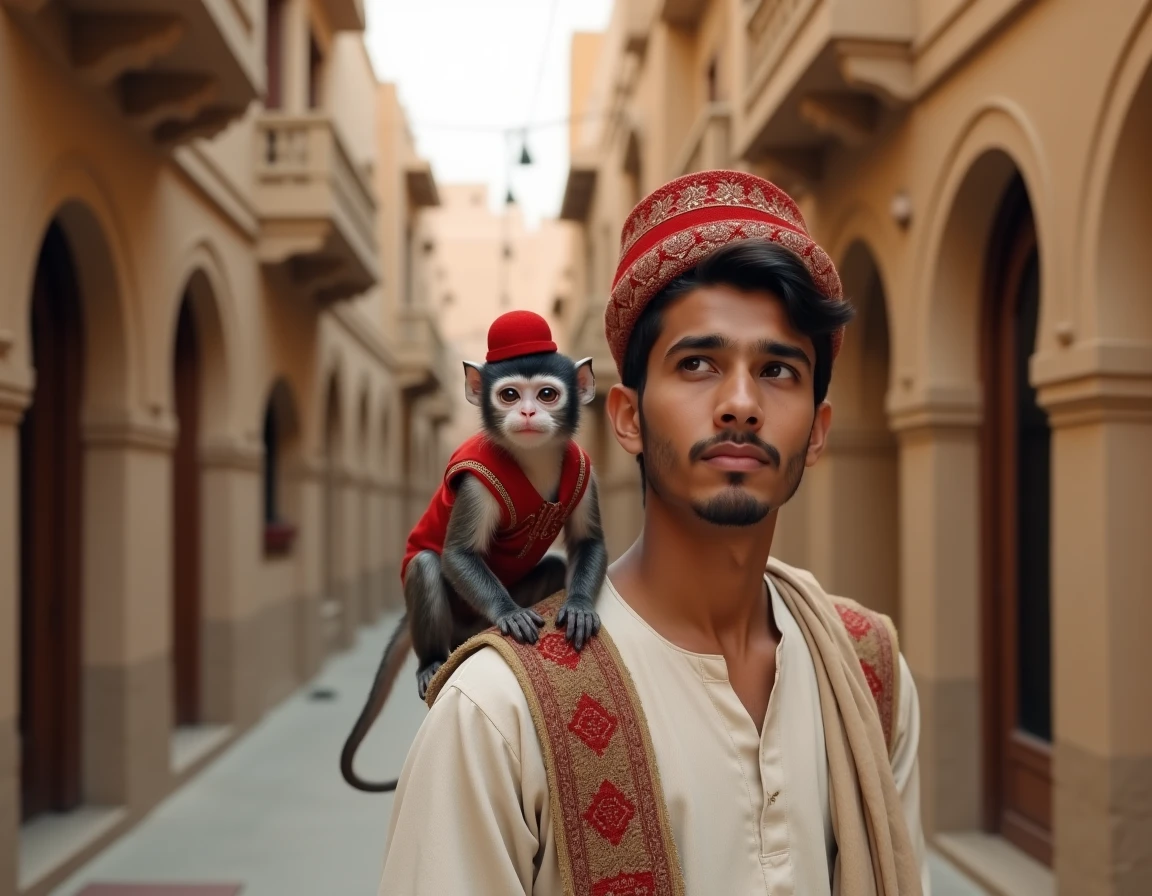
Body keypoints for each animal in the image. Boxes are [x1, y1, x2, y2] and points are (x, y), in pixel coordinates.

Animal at [340, 325, 608, 794]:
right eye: (509, 394)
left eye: (547, 394)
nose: (526, 411)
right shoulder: (477, 480)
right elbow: (456, 554)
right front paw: (509, 613)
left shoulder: (583, 468)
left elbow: (588, 542)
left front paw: (578, 606)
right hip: (451, 620)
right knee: (426, 565)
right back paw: (431, 662)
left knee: (557, 566)